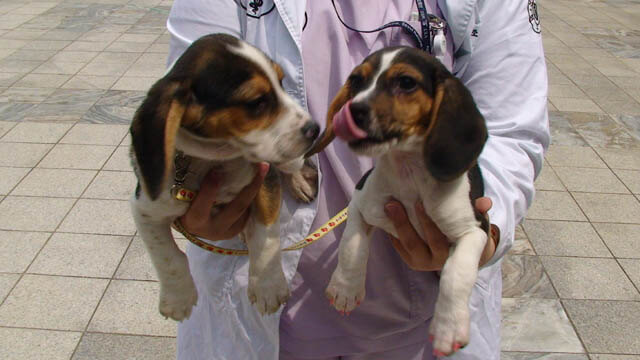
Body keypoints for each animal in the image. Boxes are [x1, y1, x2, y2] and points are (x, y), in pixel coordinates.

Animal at [131, 33, 320, 320]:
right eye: (256, 102)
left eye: (281, 83)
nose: (315, 129)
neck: (213, 160)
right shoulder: (145, 210)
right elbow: (167, 256)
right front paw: (177, 298)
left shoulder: (264, 180)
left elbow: (266, 237)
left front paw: (268, 287)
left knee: (291, 165)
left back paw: (299, 182)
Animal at [304, 45, 490, 358]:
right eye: (356, 80)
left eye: (406, 82)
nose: (352, 110)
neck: (409, 175)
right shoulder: (359, 204)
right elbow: (351, 246)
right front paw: (345, 288)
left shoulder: (475, 230)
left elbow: (456, 273)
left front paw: (448, 327)